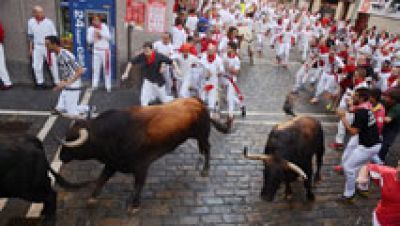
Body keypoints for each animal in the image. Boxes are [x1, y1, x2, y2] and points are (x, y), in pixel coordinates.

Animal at [57, 98, 230, 212]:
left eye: (71, 140)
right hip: (197, 136)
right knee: (202, 149)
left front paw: (134, 205)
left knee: (207, 148)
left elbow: (139, 184)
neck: (112, 134)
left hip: (202, 134)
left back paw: (205, 169)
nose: (61, 157)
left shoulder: (141, 166)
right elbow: (101, 179)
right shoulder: (112, 163)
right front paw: (92, 199)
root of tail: (198, 101)